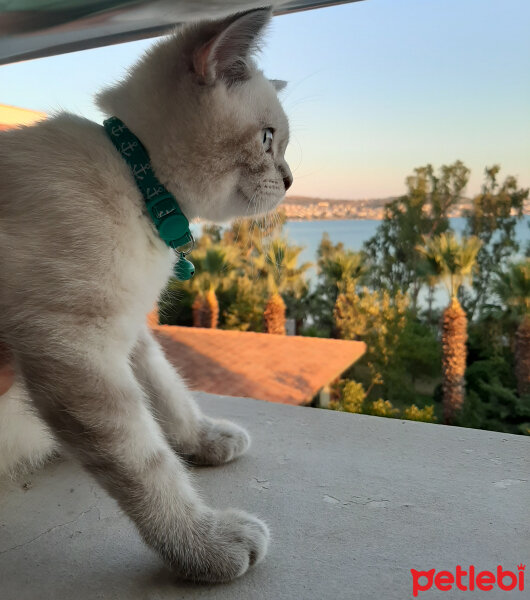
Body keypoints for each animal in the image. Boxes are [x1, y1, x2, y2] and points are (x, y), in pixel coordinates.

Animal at [0, 8, 290, 580]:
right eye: (269, 138)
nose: (290, 180)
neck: (141, 185)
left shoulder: (130, 329)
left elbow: (168, 392)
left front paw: (204, 440)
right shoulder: (74, 348)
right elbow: (145, 463)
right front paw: (204, 546)